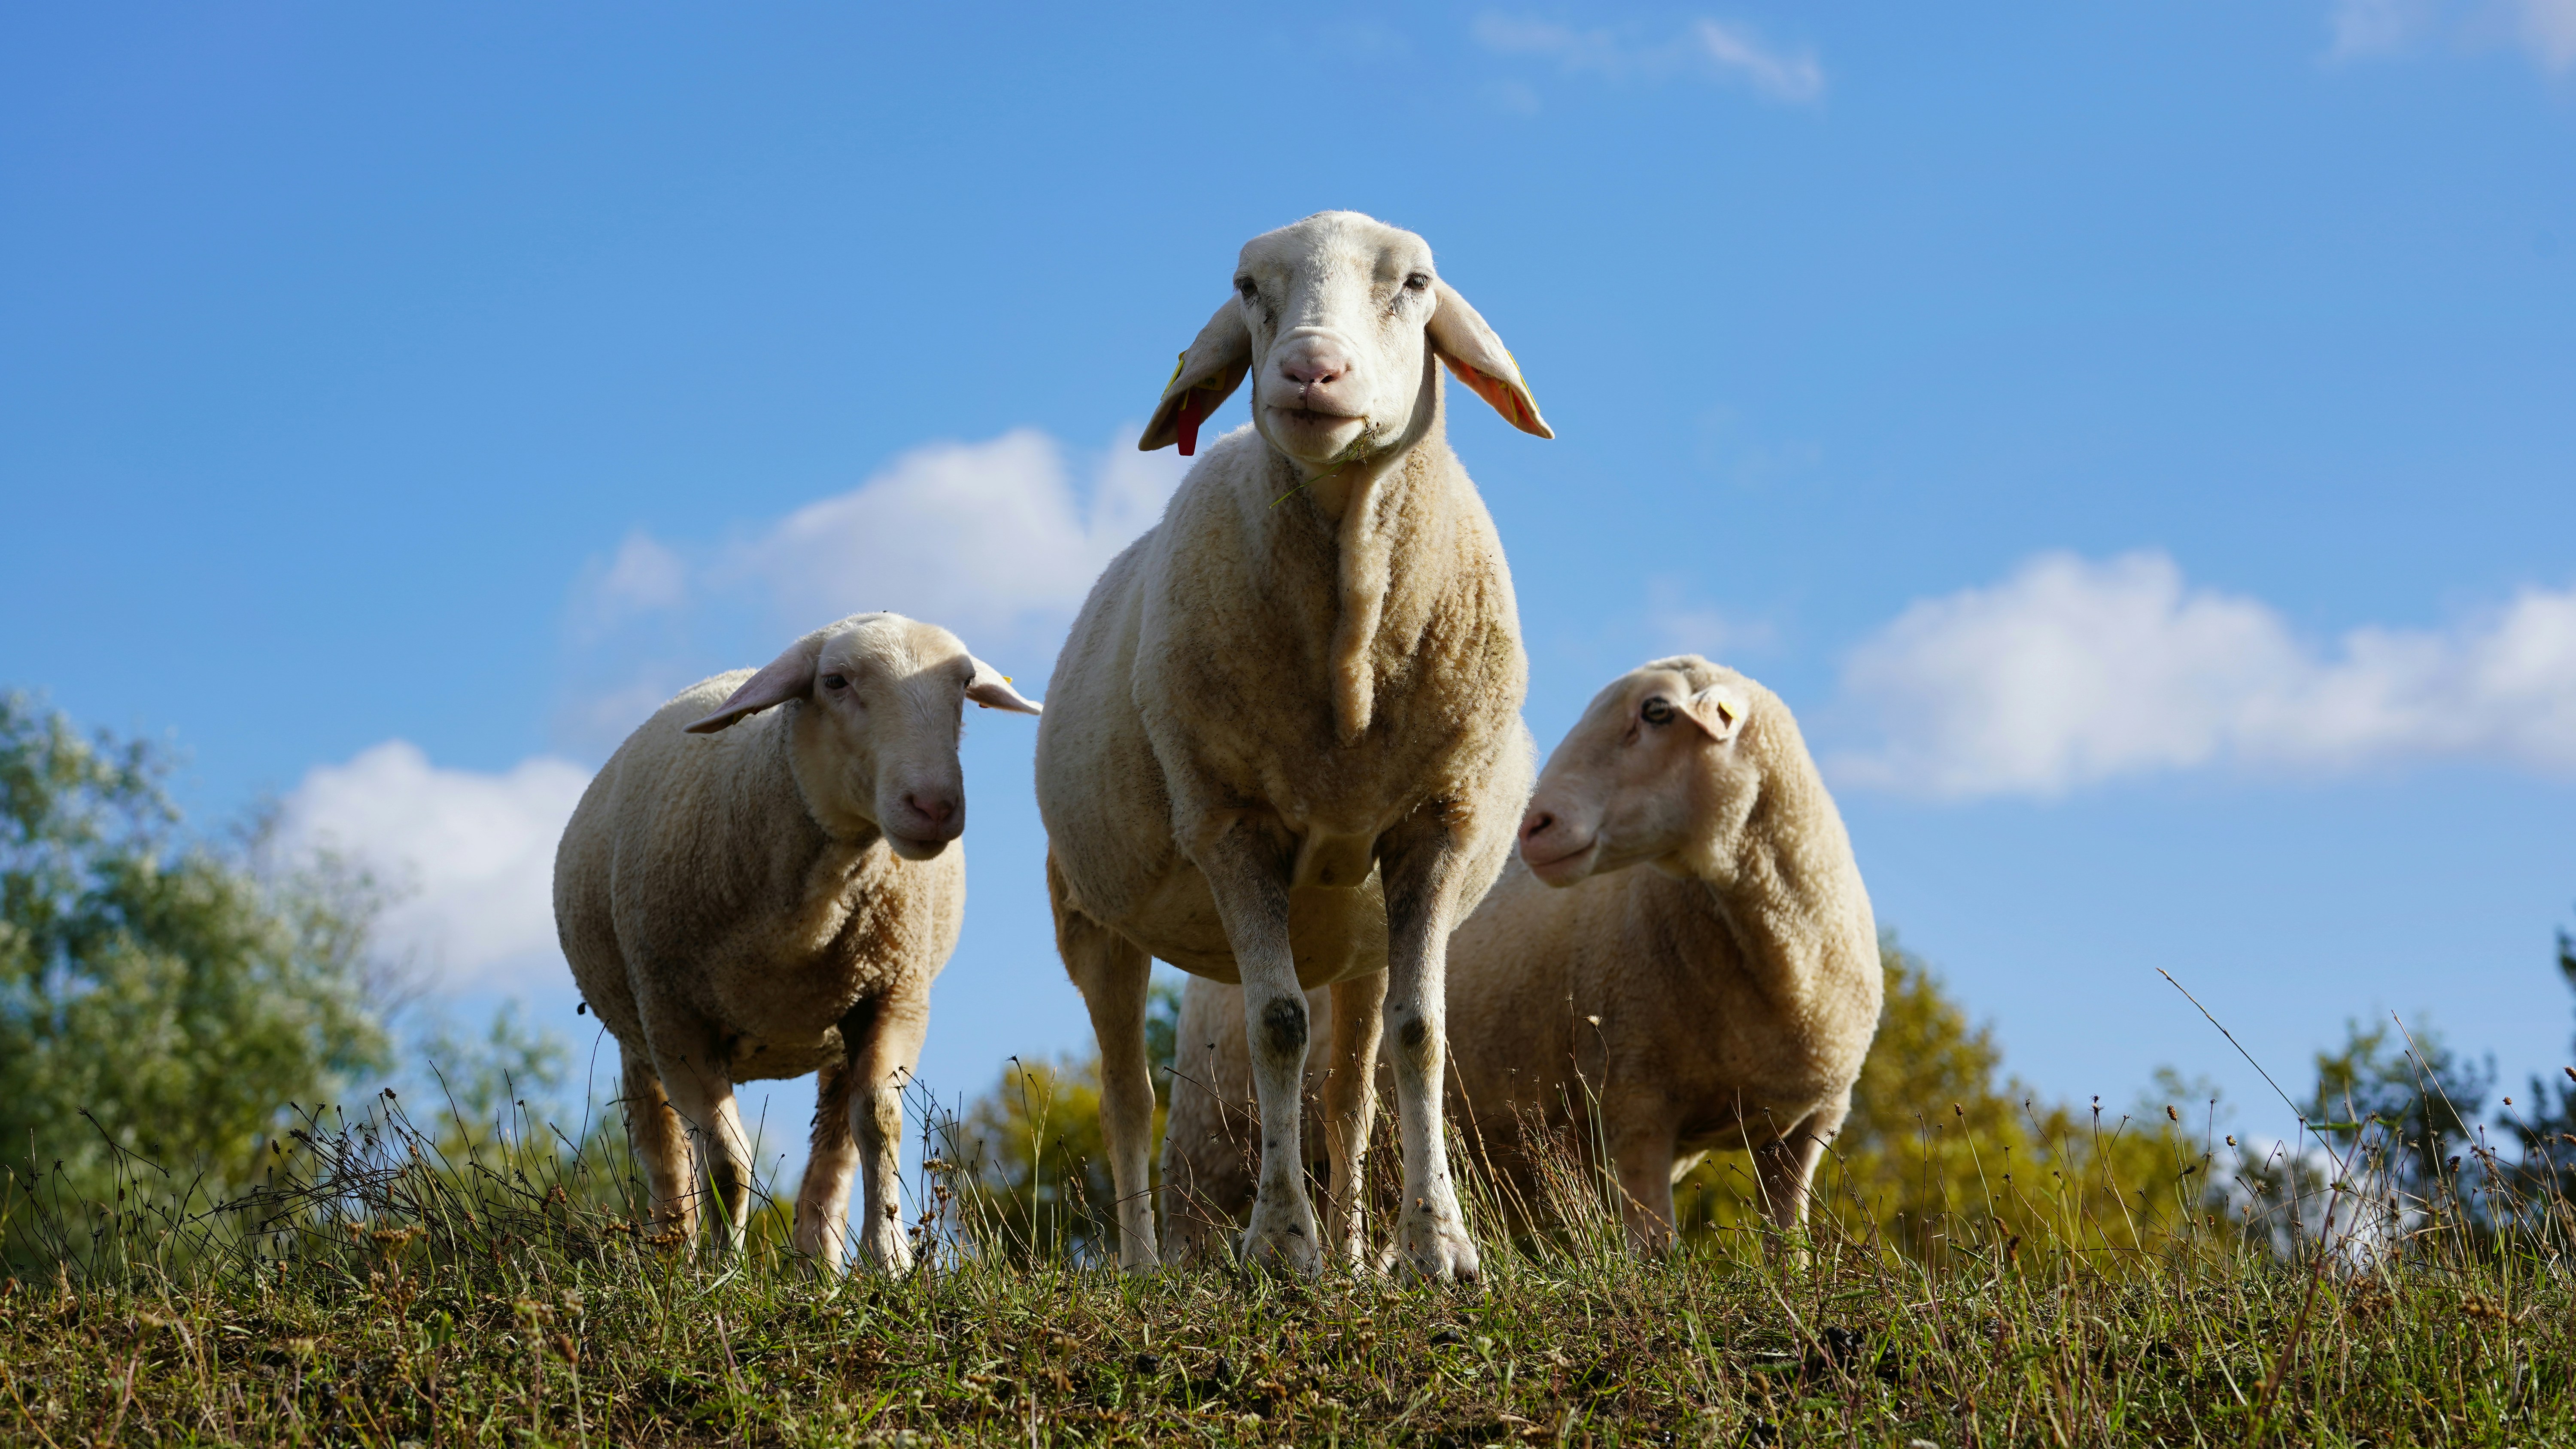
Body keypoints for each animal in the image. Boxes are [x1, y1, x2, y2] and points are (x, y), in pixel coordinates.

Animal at [554, 613, 1040, 1273]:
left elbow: (879, 1124)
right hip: (636, 1028)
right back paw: (673, 1251)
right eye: (834, 681)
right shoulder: (676, 1019)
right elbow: (727, 1159)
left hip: (835, 1030)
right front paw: (723, 1269)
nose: (935, 805)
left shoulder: (895, 993)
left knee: (834, 1150)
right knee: (661, 1147)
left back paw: (820, 1267)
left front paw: (891, 1260)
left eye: (964, 684)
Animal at [1033, 211, 1552, 1279]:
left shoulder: (1436, 823)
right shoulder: (1231, 824)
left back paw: (1358, 1257)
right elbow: (1275, 1027)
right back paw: (1146, 1264)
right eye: (1248, 289)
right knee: (1127, 1095)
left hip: (1355, 931)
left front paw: (1436, 1248)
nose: (1312, 370)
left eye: (1416, 284)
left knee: (1350, 1090)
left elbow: (1422, 1034)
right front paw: (1278, 1246)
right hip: (1091, 916)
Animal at [1160, 657, 1883, 1255]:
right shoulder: (1635, 1102)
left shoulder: (1807, 1129)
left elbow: (1787, 1250)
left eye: (1656, 712)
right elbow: (1656, 1250)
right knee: (1182, 1218)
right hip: (1213, 1130)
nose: (1533, 828)